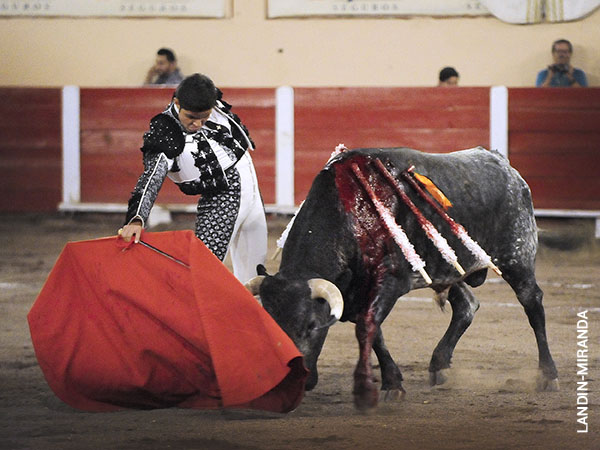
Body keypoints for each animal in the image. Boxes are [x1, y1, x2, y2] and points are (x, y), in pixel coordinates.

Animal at [246, 147, 559, 410]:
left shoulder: (391, 281)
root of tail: (504, 164)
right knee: (467, 305)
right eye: (268, 324)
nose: (292, 382)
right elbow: (375, 334)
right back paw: (439, 365)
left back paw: (548, 375)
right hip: (445, 268)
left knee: (532, 303)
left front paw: (371, 388)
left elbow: (368, 327)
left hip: (516, 259)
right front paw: (393, 382)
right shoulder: (357, 291)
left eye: (312, 326)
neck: (352, 215)